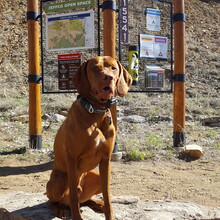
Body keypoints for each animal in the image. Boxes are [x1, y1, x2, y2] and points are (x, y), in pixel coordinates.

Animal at [46, 55, 131, 219]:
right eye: (94, 68)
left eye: (113, 68)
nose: (108, 77)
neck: (96, 112)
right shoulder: (71, 158)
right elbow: (73, 197)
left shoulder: (106, 160)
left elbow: (108, 196)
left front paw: (108, 211)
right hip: (59, 179)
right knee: (54, 200)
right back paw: (60, 209)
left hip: (95, 177)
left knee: (86, 200)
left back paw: (98, 204)